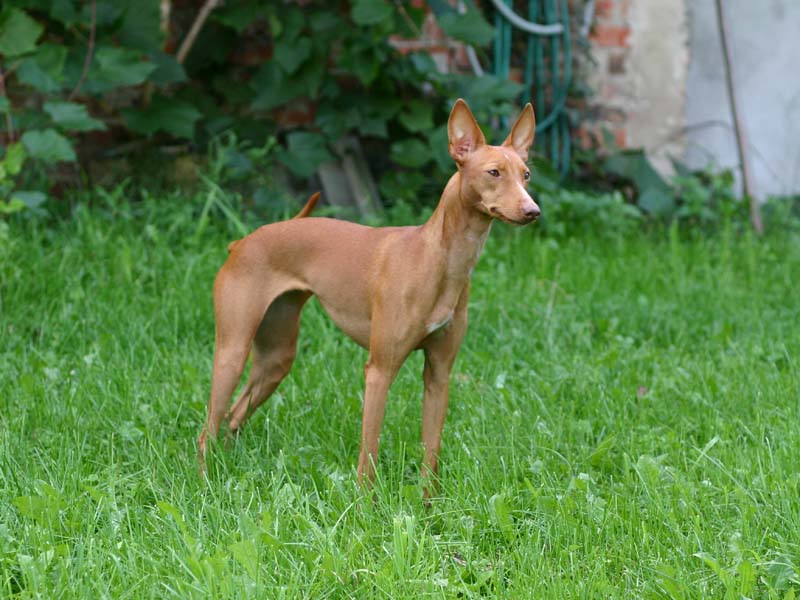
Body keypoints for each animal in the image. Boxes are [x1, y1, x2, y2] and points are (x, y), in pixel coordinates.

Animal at [197, 98, 540, 492]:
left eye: (526, 175)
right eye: (493, 172)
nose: (533, 211)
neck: (439, 259)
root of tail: (242, 242)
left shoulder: (439, 374)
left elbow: (431, 454)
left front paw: (429, 504)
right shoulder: (379, 371)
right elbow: (368, 455)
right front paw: (365, 504)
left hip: (275, 359)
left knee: (234, 417)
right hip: (232, 351)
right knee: (208, 429)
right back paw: (206, 485)